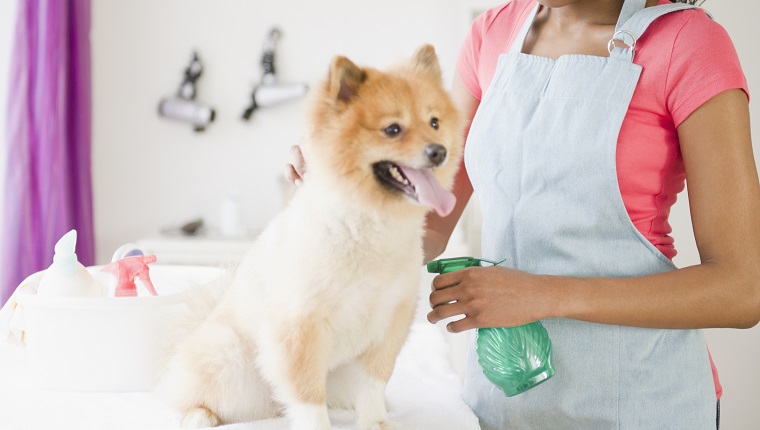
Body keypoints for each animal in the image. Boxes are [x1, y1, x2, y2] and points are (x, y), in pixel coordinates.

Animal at [155, 44, 464, 430]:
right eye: (393, 129)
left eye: (434, 122)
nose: (439, 151)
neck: (368, 226)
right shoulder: (300, 329)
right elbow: (308, 399)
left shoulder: (390, 324)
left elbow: (374, 386)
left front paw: (376, 422)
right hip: (225, 354)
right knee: (195, 396)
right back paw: (198, 416)